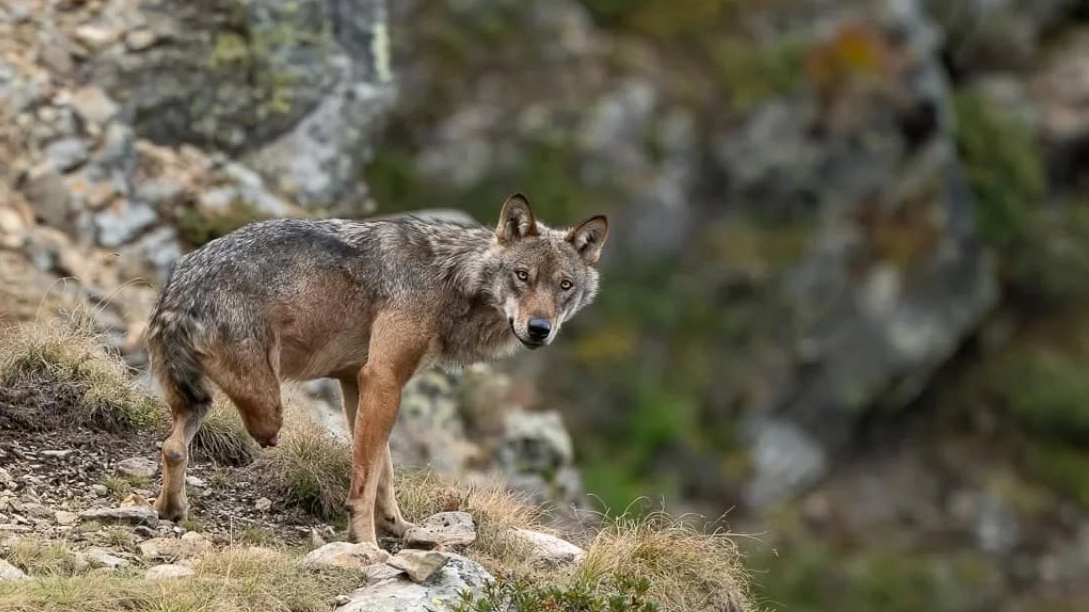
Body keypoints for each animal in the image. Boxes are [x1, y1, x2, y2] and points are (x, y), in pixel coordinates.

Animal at [140, 192, 609, 544]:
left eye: (565, 286)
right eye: (522, 275)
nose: (539, 329)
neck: (450, 278)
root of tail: (177, 291)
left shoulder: (357, 383)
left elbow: (383, 471)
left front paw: (399, 528)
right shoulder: (383, 379)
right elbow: (366, 483)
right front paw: (367, 545)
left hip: (206, 403)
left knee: (173, 447)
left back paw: (170, 511)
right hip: (267, 409)